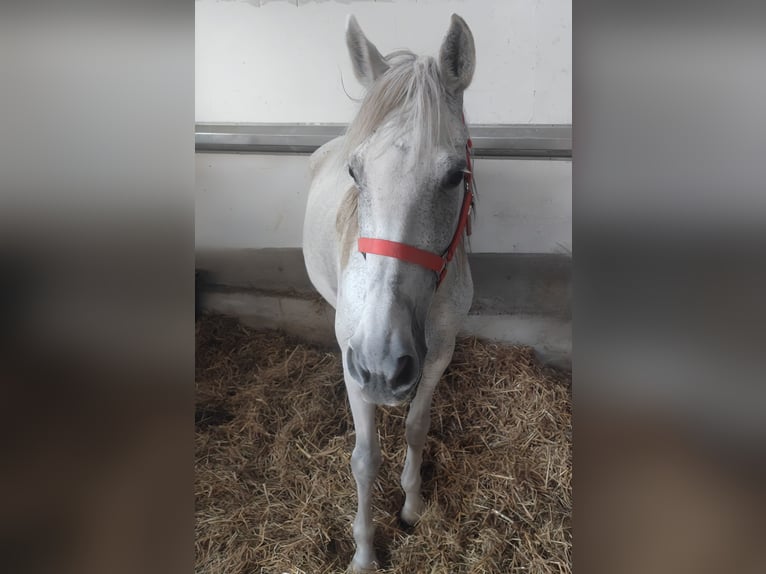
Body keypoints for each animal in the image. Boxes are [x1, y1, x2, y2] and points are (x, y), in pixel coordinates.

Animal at [302, 13, 476, 572]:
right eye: (355, 172)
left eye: (455, 176)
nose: (381, 365)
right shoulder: (353, 363)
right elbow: (365, 458)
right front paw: (363, 552)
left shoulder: (440, 354)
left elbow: (416, 428)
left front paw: (412, 506)